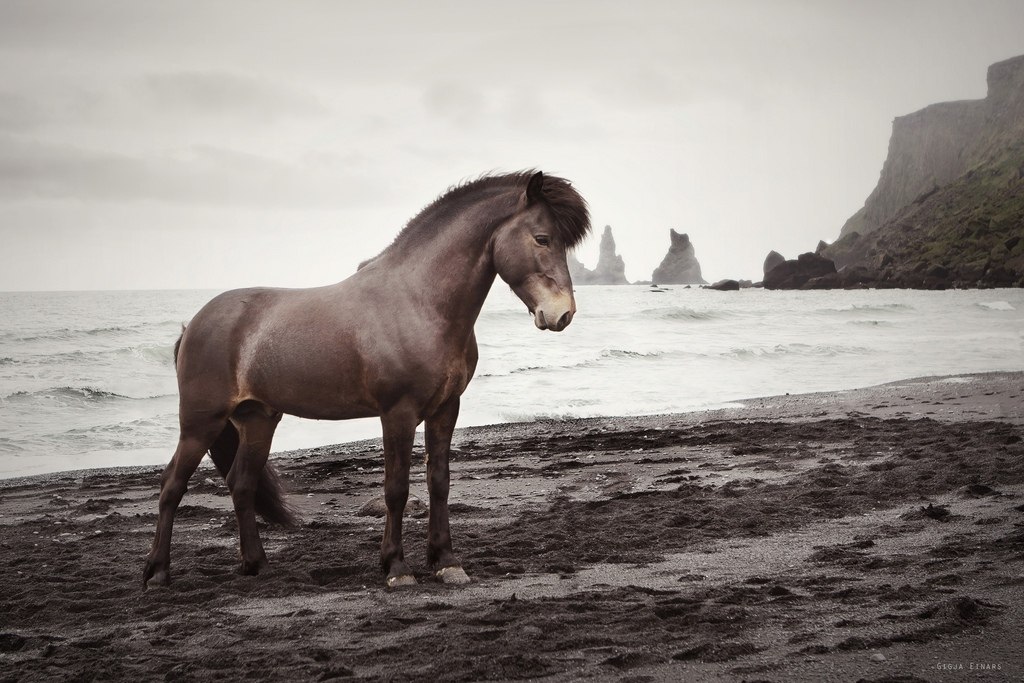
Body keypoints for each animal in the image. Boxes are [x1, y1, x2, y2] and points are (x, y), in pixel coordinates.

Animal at [145, 169, 593, 589]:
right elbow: (396, 489)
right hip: (201, 423)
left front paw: (446, 562)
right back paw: (157, 573)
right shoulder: (398, 413)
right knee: (172, 485)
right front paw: (396, 567)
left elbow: (439, 483)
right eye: (542, 238)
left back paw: (257, 565)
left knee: (241, 484)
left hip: (258, 420)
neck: (418, 303)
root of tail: (194, 323)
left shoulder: (445, 409)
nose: (563, 314)